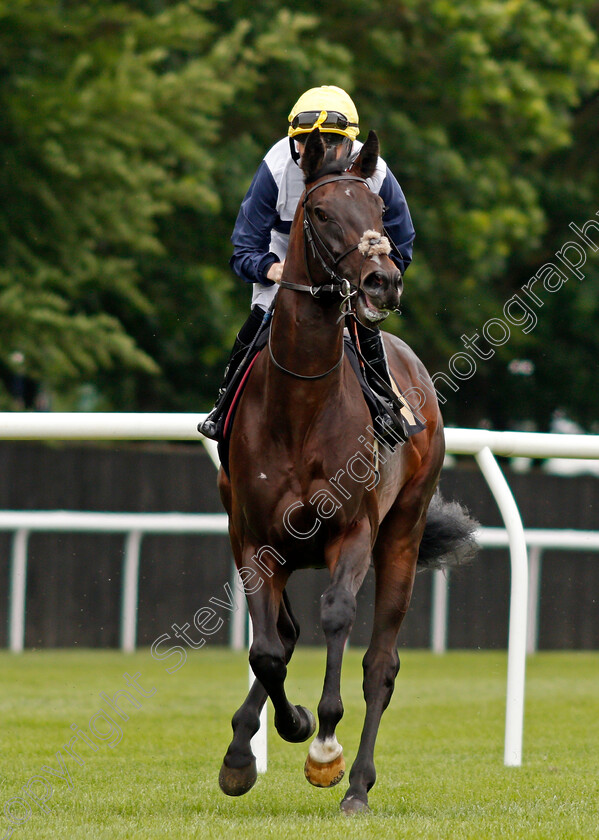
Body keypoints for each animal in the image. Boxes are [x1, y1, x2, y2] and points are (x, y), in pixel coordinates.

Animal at [218, 130, 476, 812]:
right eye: (323, 213)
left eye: (380, 210)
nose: (382, 279)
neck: (301, 405)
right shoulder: (251, 537)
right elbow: (268, 650)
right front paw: (263, 743)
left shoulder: (353, 530)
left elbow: (335, 617)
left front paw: (323, 748)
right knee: (283, 634)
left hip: (404, 532)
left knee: (380, 664)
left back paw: (357, 782)